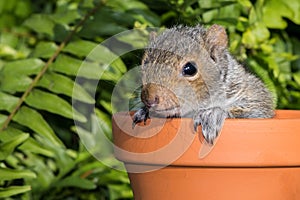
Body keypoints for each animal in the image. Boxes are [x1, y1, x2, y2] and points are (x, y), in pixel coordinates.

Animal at [132, 24, 276, 144]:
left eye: (190, 69)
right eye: (143, 63)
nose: (149, 99)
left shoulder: (252, 96)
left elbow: (254, 111)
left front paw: (212, 114)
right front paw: (143, 111)